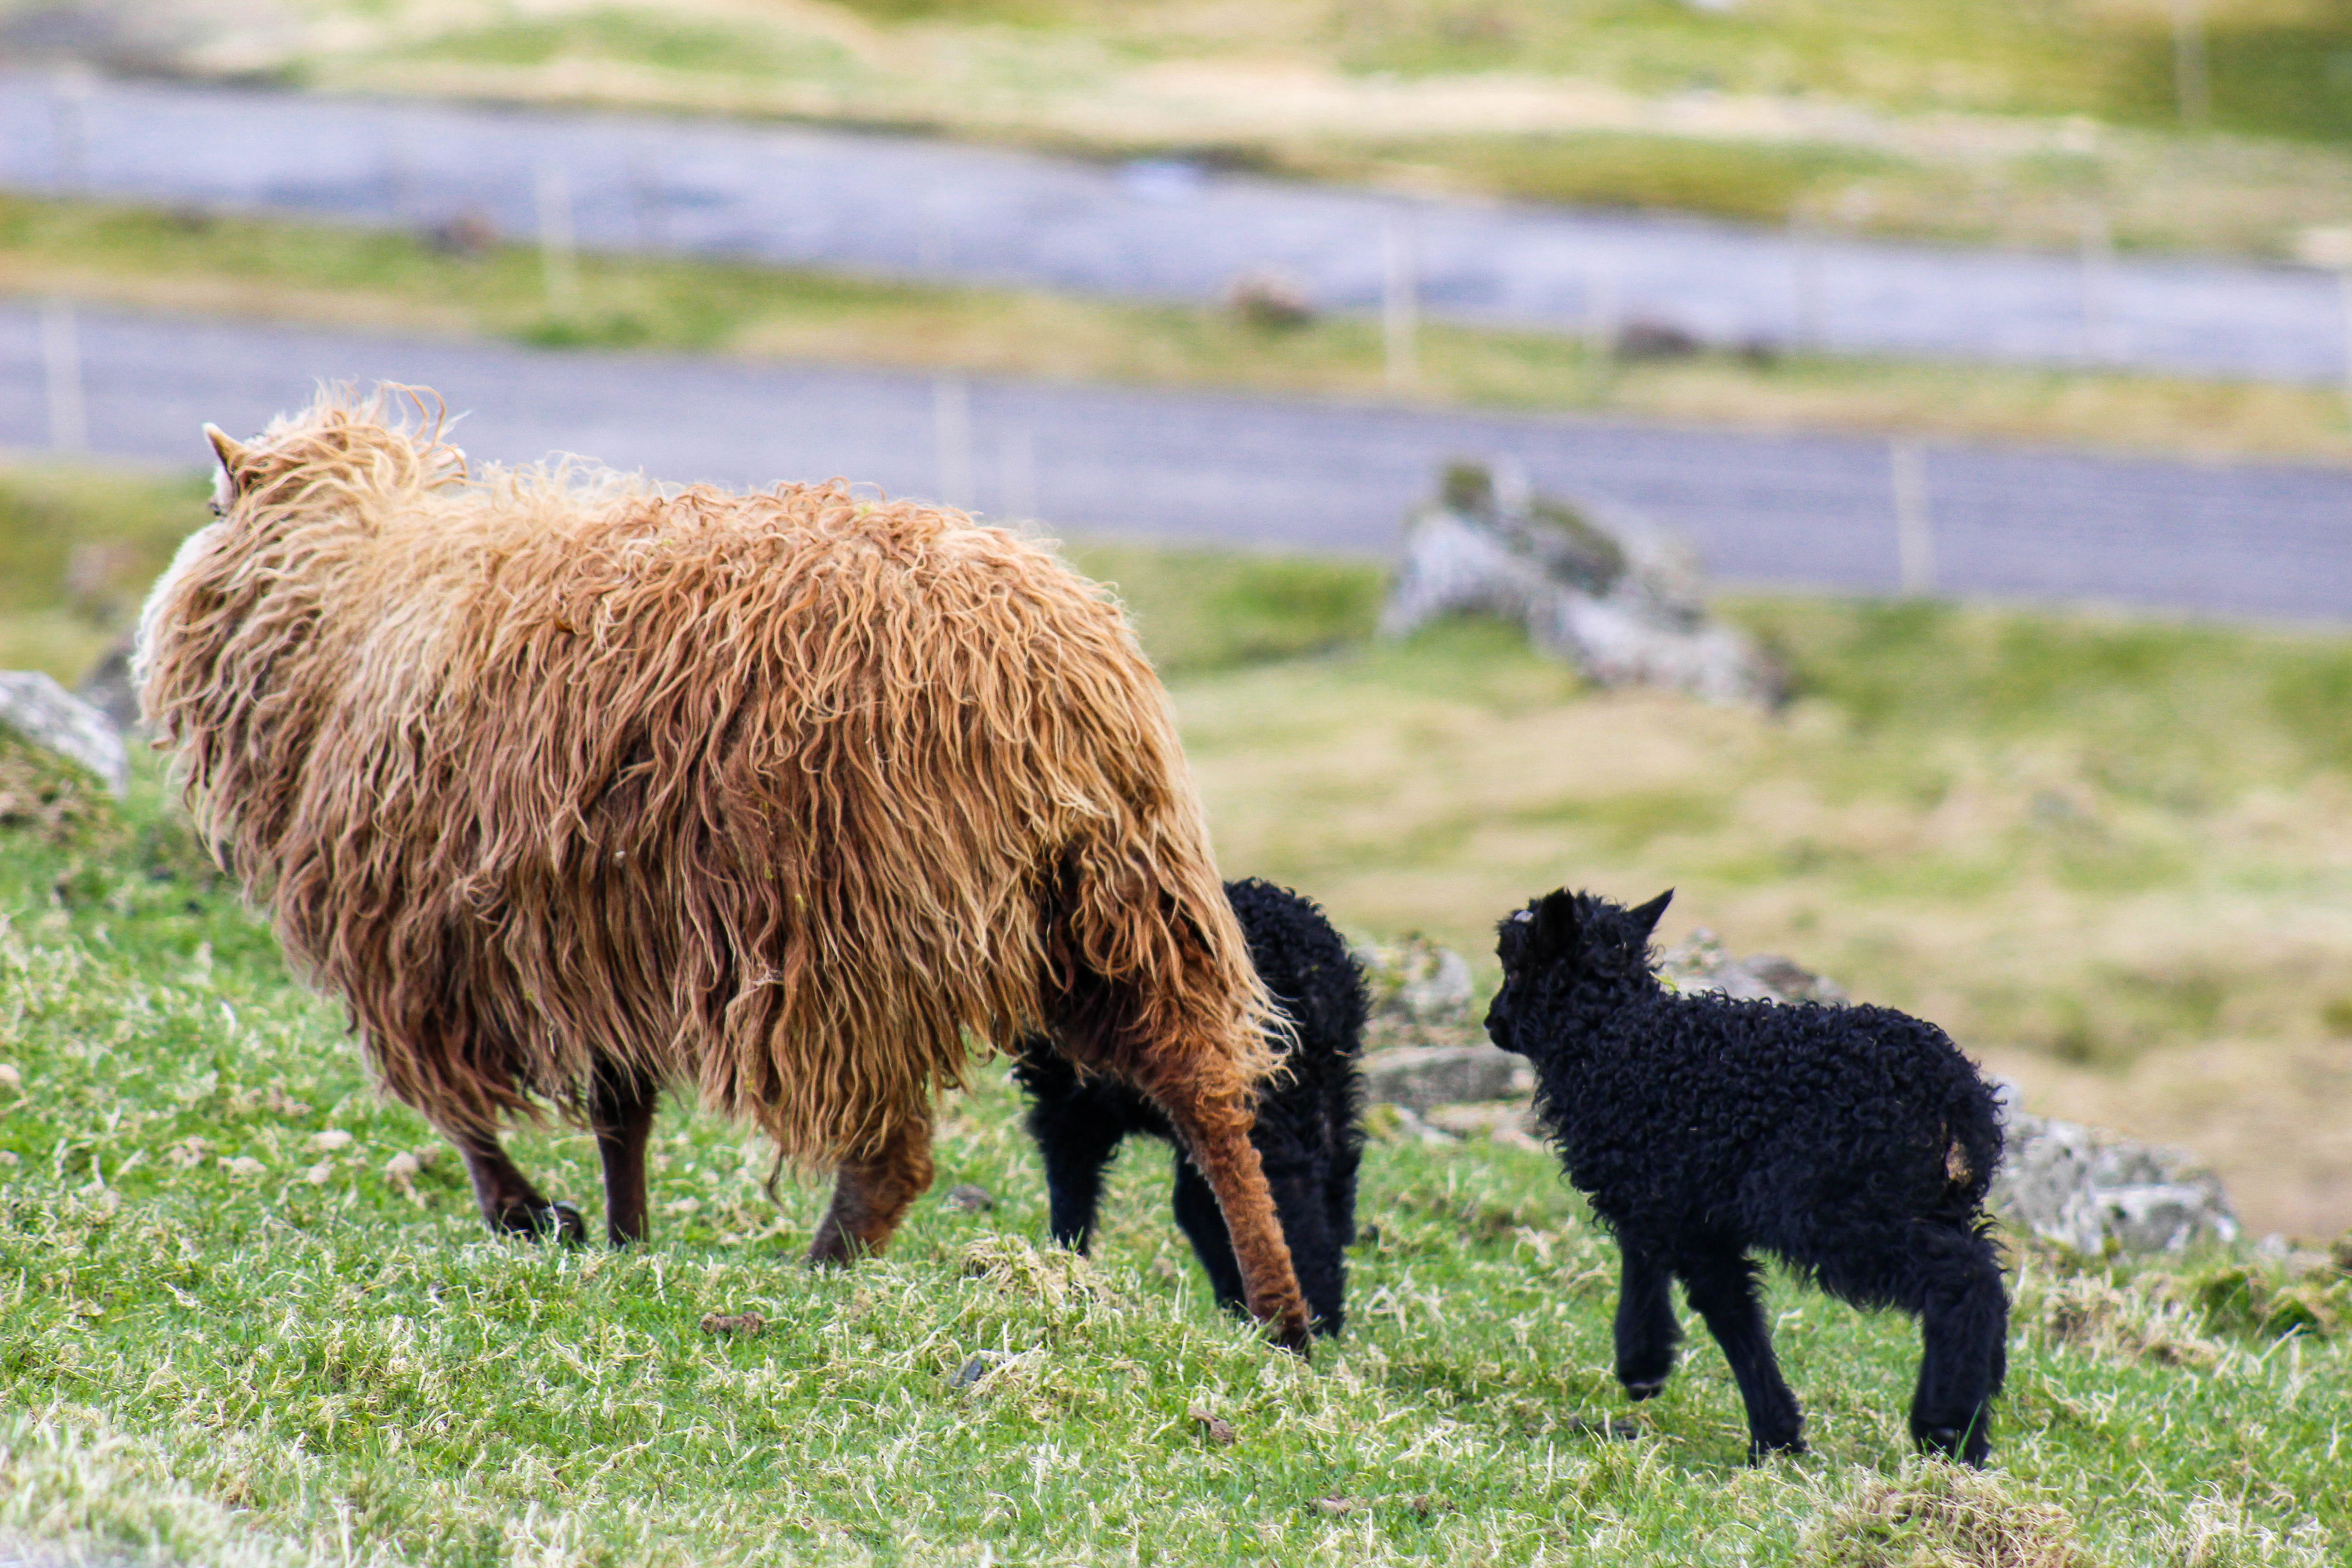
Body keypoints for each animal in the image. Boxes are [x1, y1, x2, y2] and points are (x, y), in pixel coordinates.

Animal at [137, 390, 1317, 1354]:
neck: (353, 600)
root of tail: (1043, 674)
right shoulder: (589, 930)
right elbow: (620, 1112)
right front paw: (623, 1234)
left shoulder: (418, 936)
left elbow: (459, 1111)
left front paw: (532, 1214)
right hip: (1124, 907)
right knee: (1208, 1096)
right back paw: (1282, 1311)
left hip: (849, 936)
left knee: (894, 1154)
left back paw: (819, 1271)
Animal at [1486, 888, 2004, 1467]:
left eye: (1516, 964)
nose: (1492, 1022)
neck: (1617, 1040)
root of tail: (1960, 1099)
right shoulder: (1666, 1197)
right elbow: (1654, 1268)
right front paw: (1647, 1365)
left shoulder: (1684, 1212)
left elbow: (1728, 1312)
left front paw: (1772, 1436)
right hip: (1934, 1202)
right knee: (1987, 1274)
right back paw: (1974, 1426)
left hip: (1842, 1205)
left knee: (1961, 1278)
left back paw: (1942, 1426)